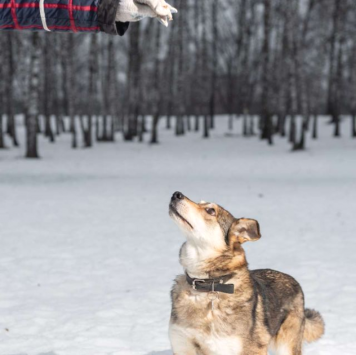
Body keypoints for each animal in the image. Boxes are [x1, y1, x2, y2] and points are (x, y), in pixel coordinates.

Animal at [168, 192, 324, 355]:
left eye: (210, 210)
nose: (176, 194)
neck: (206, 285)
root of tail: (293, 280)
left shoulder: (251, 349)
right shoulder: (182, 345)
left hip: (286, 346)